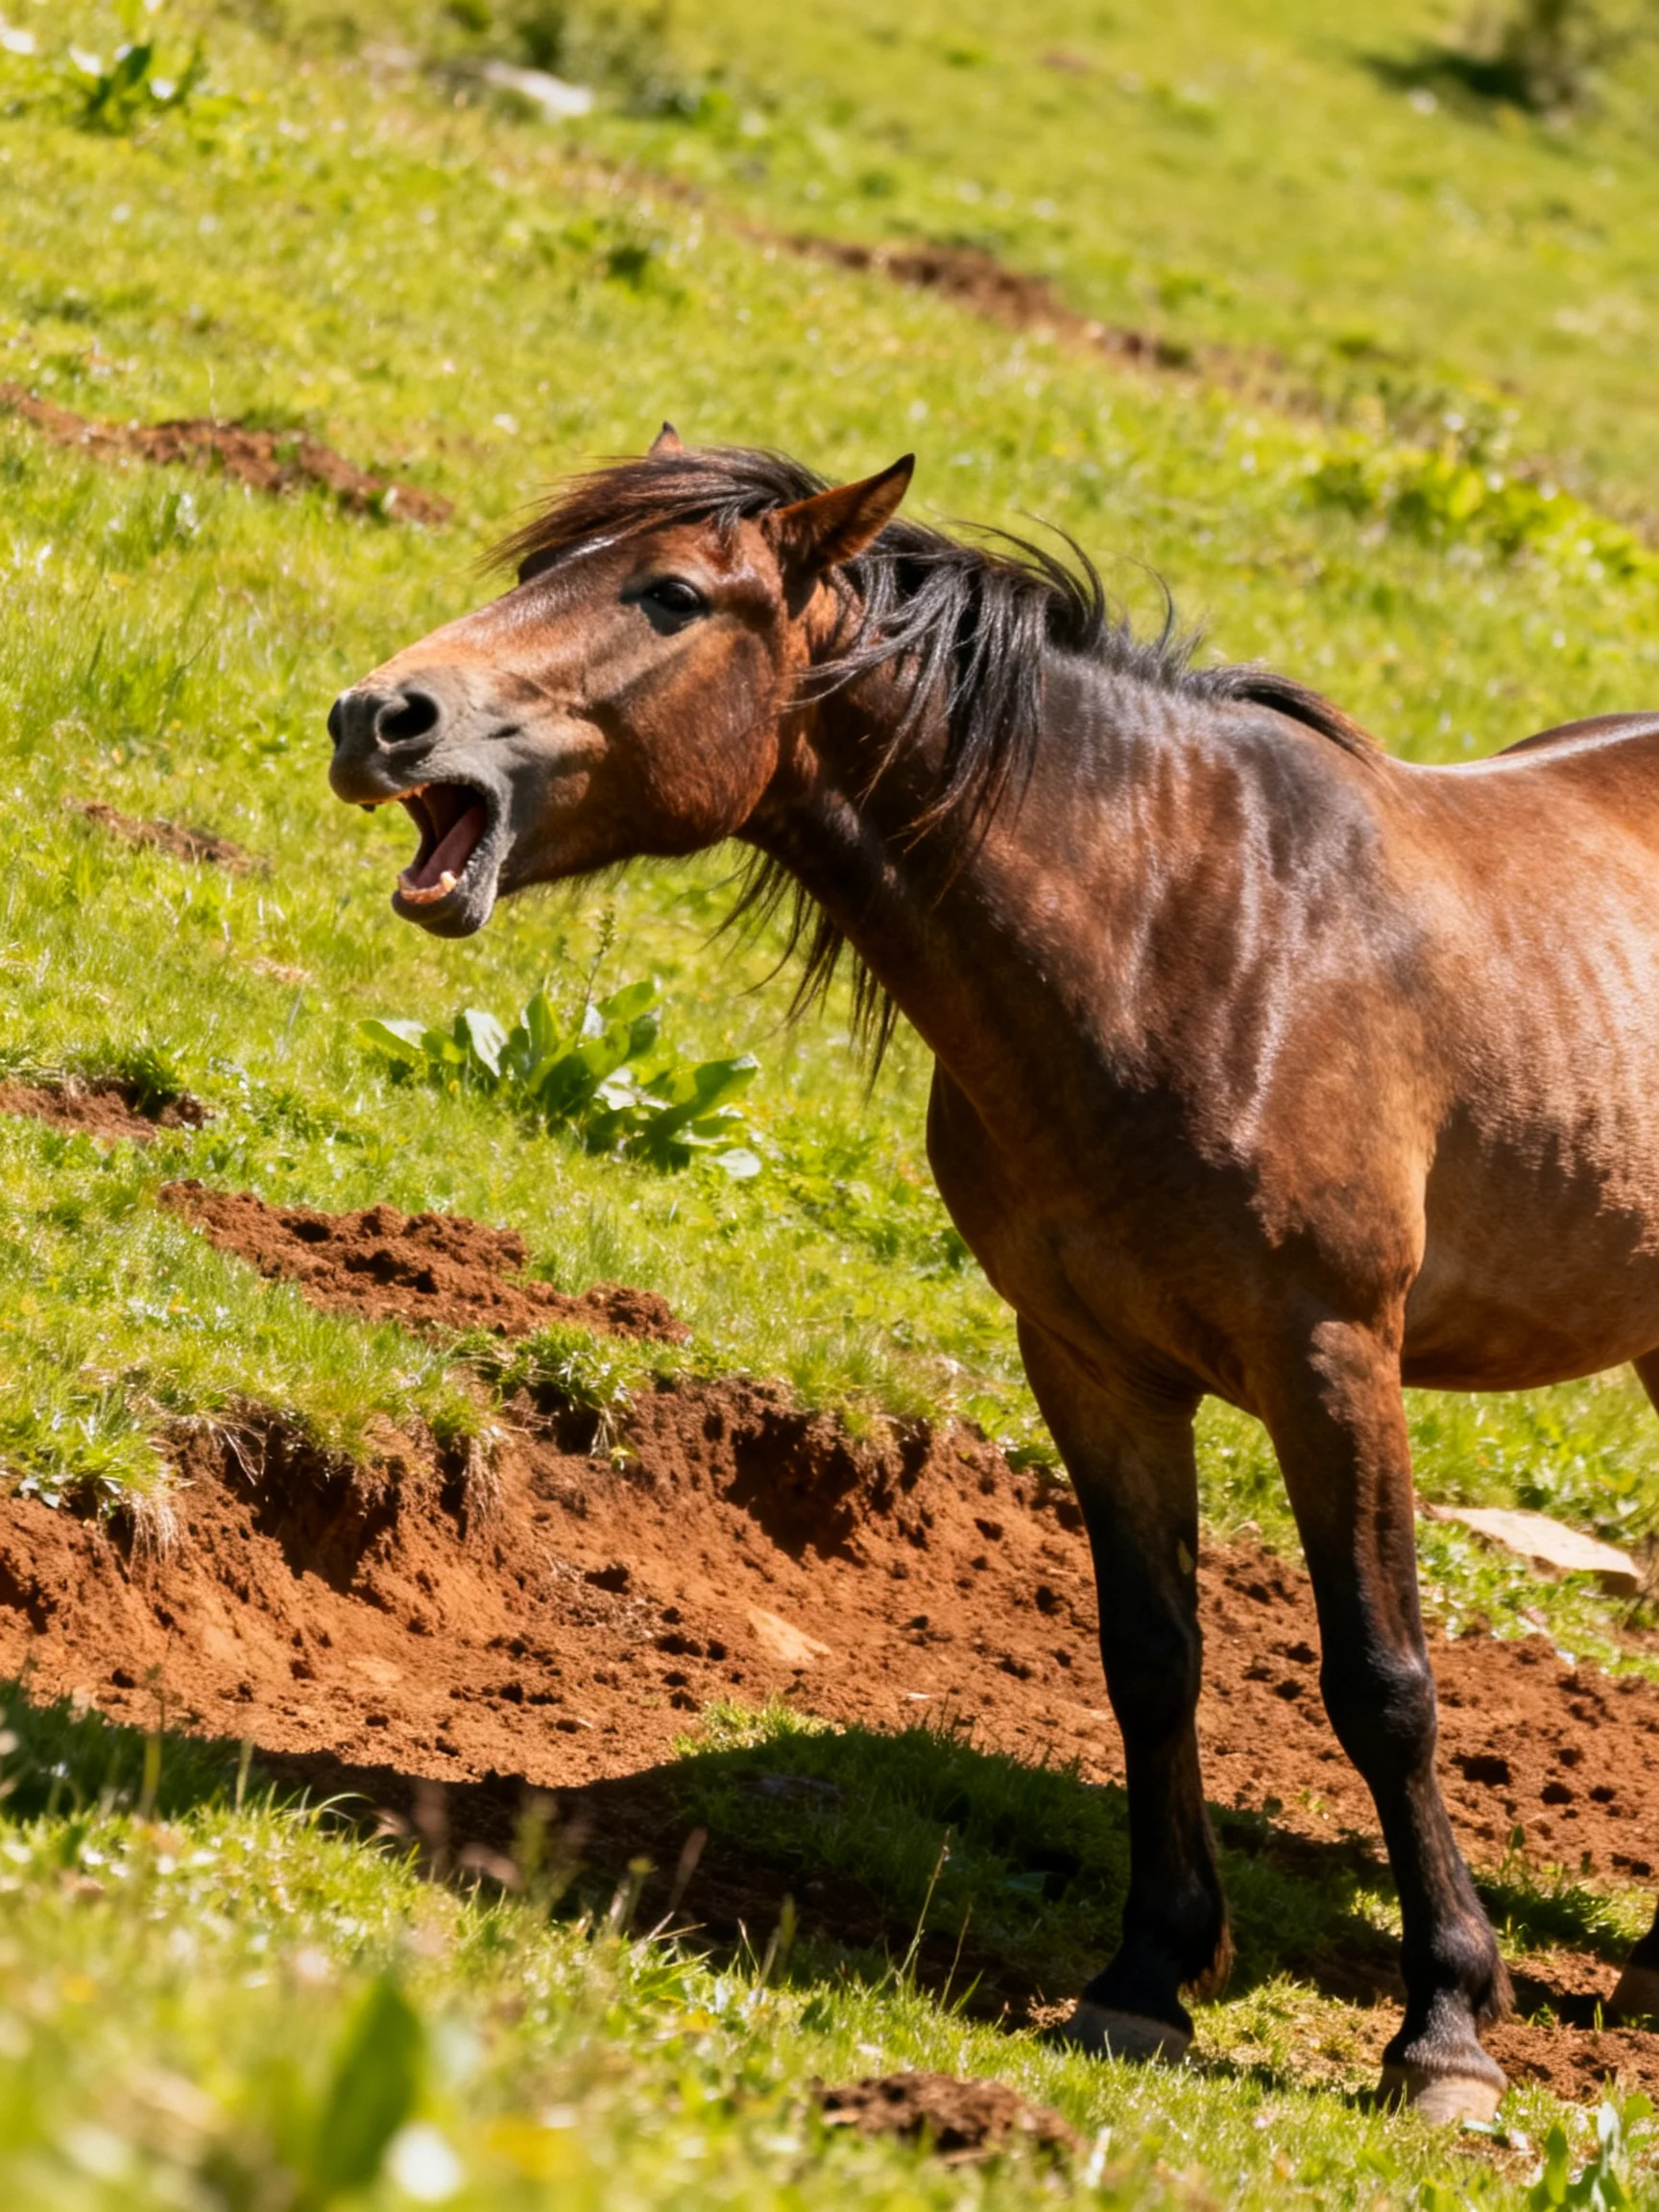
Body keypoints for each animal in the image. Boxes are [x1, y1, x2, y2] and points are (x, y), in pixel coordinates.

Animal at [327, 428, 1659, 2121]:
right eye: (539, 572)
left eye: (671, 595)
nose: (380, 717)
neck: (1182, 939)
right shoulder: (1090, 1362)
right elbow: (1152, 1660)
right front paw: (1149, 1977)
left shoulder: (1334, 1358)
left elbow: (1384, 1683)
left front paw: (1443, 2031)